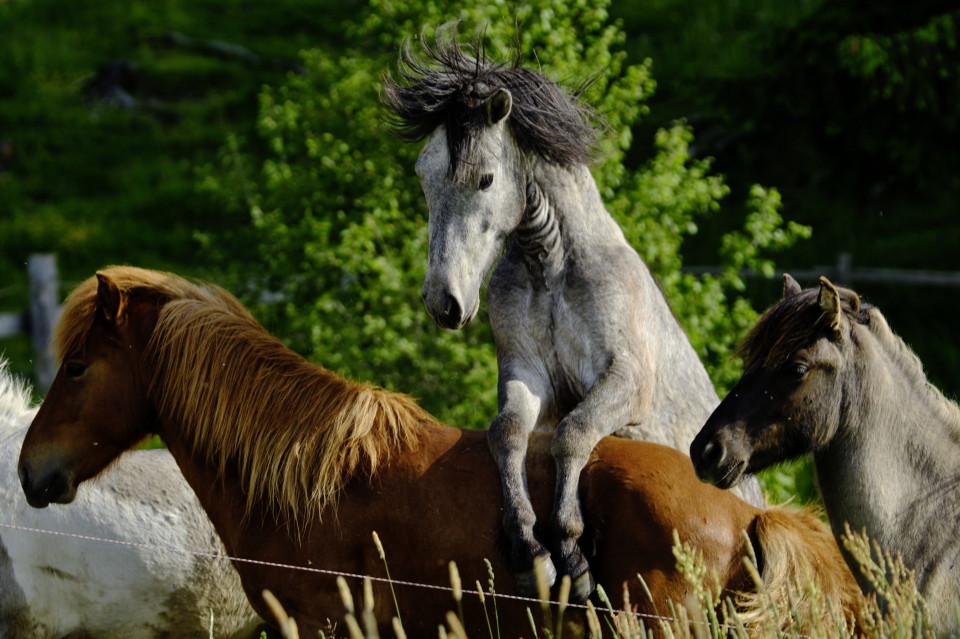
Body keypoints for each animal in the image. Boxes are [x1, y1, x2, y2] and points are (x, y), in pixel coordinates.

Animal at [382, 26, 764, 604]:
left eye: (486, 179)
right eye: (424, 178)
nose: (443, 302)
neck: (552, 268)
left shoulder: (624, 381)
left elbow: (574, 433)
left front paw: (571, 551)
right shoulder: (527, 373)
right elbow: (506, 433)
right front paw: (529, 552)